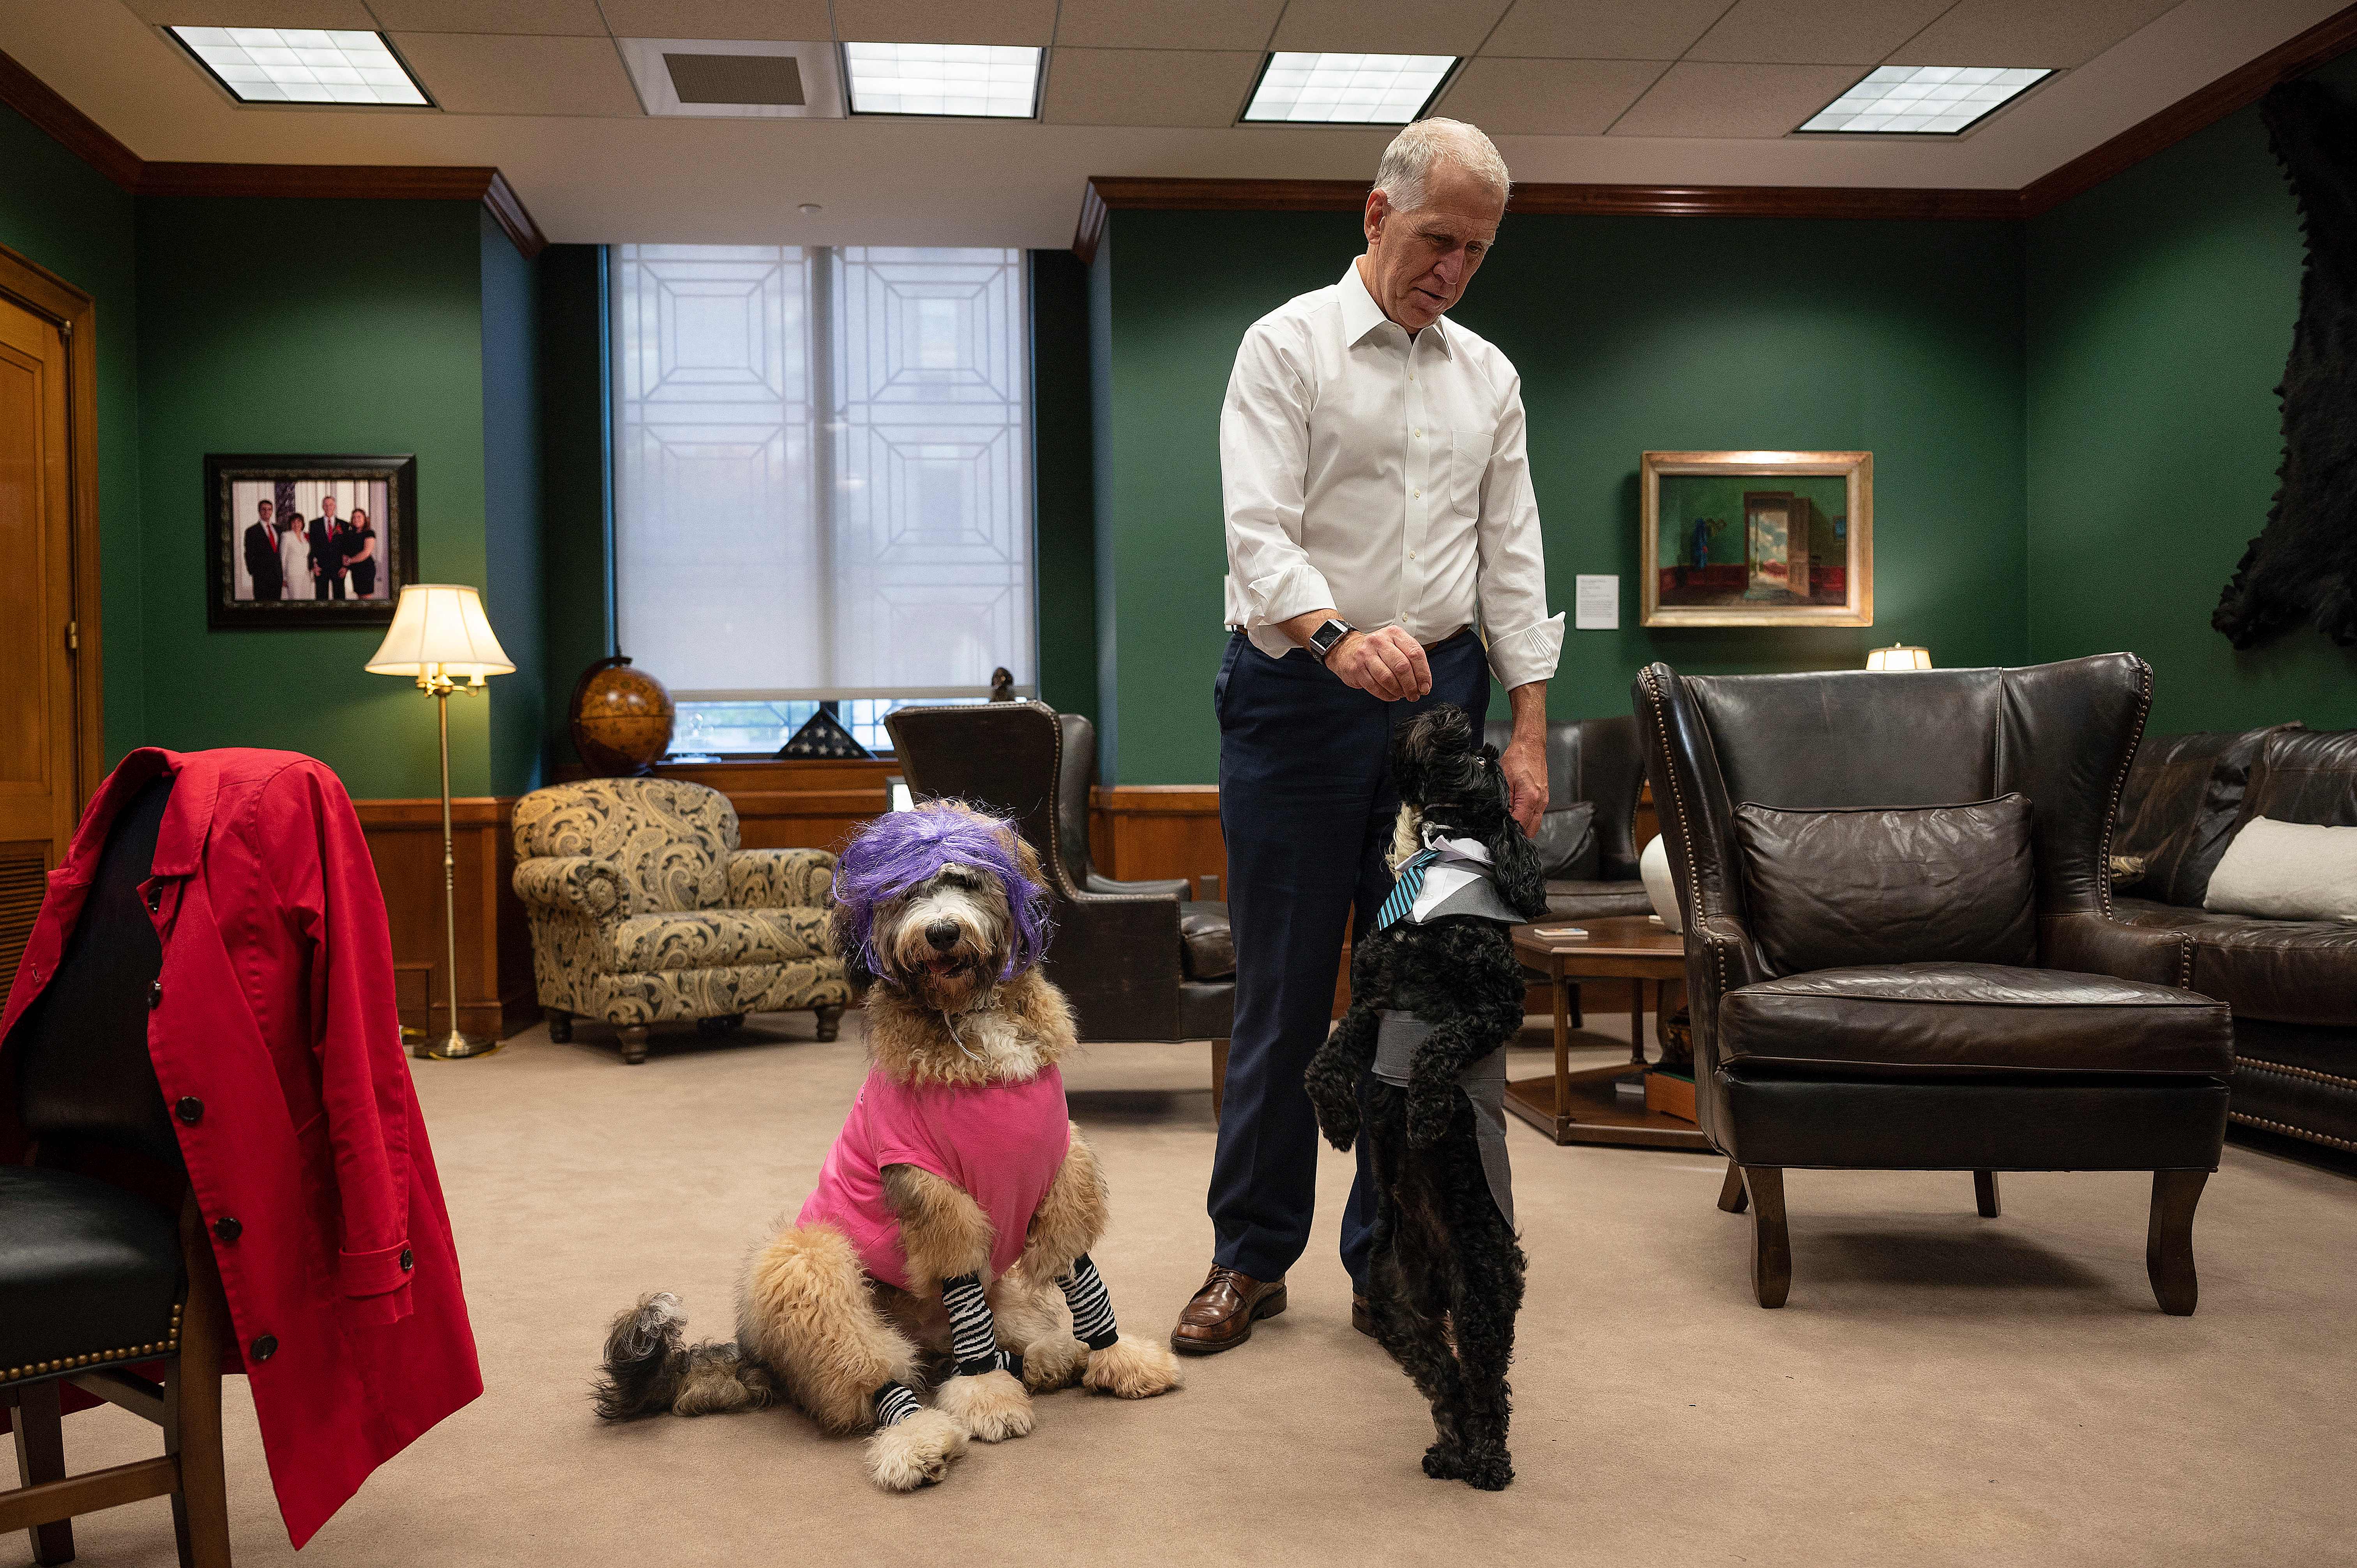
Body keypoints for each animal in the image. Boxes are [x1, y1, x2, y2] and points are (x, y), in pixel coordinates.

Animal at [1310, 703, 1546, 1490]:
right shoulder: (1371, 1000)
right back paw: (1449, 1449)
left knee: (1484, 1380)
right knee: (1443, 1378)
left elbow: (1436, 1049)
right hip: (1393, 1302)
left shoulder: (1496, 1007)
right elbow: (1322, 1062)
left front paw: (1427, 1112)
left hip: (1484, 1291)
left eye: (1485, 757)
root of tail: (1442, 1273)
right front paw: (1339, 1120)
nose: (1447, 711)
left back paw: (1488, 1459)